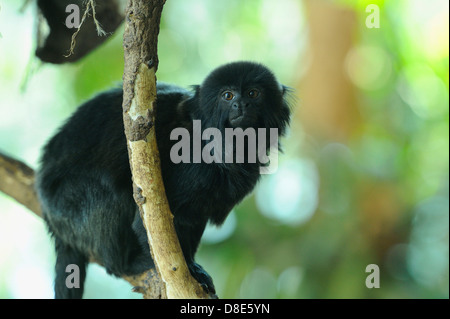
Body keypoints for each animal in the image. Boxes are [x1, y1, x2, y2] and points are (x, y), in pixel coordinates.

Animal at [37, 62, 292, 300]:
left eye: (253, 93)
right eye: (228, 96)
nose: (241, 105)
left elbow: (192, 218)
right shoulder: (188, 165)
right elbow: (149, 222)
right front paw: (190, 271)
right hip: (65, 202)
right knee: (111, 196)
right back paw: (127, 263)